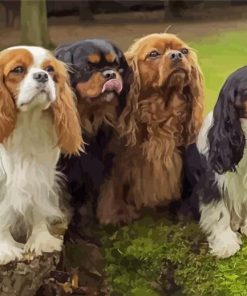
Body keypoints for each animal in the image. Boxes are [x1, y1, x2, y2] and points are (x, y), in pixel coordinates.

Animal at [55, 39, 132, 227]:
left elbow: (111, 185)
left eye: (115, 65)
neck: (90, 115)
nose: (110, 74)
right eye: (88, 68)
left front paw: (112, 216)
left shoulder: (110, 155)